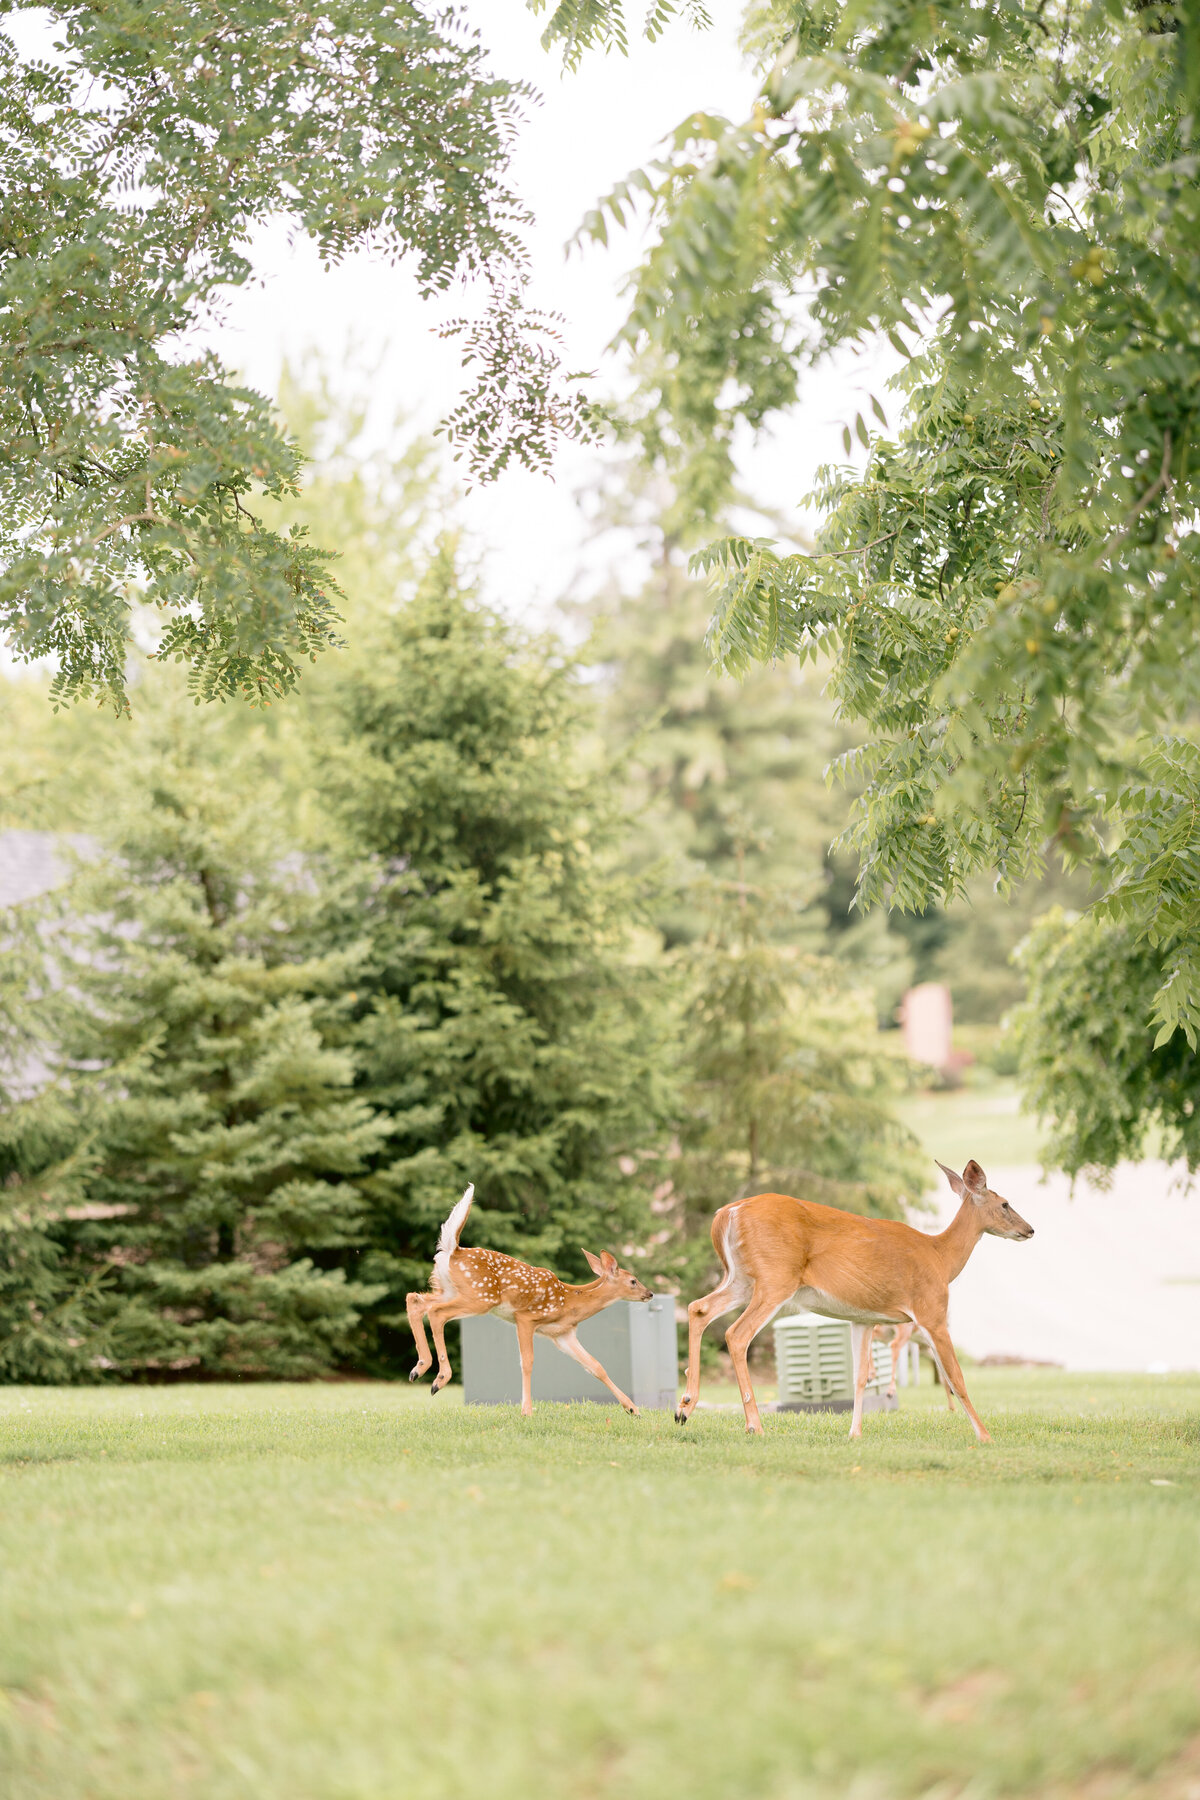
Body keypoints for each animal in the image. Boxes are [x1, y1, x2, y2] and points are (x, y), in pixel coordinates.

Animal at [406, 1180, 651, 1418]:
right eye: (633, 1281)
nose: (649, 1293)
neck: (569, 1302)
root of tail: (453, 1250)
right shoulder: (526, 1317)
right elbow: (528, 1362)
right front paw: (526, 1410)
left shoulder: (563, 1334)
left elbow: (596, 1366)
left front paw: (632, 1409)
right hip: (481, 1297)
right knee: (436, 1313)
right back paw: (439, 1379)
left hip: (450, 1290)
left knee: (415, 1300)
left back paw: (419, 1368)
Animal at [676, 1159, 1036, 1440]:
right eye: (1005, 1203)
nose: (1030, 1229)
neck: (941, 1258)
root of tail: (727, 1212)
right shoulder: (930, 1310)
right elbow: (956, 1376)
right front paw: (985, 1435)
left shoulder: (863, 1318)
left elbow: (860, 1377)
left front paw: (854, 1433)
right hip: (775, 1278)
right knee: (736, 1334)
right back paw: (753, 1425)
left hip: (741, 1278)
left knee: (698, 1308)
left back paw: (684, 1407)